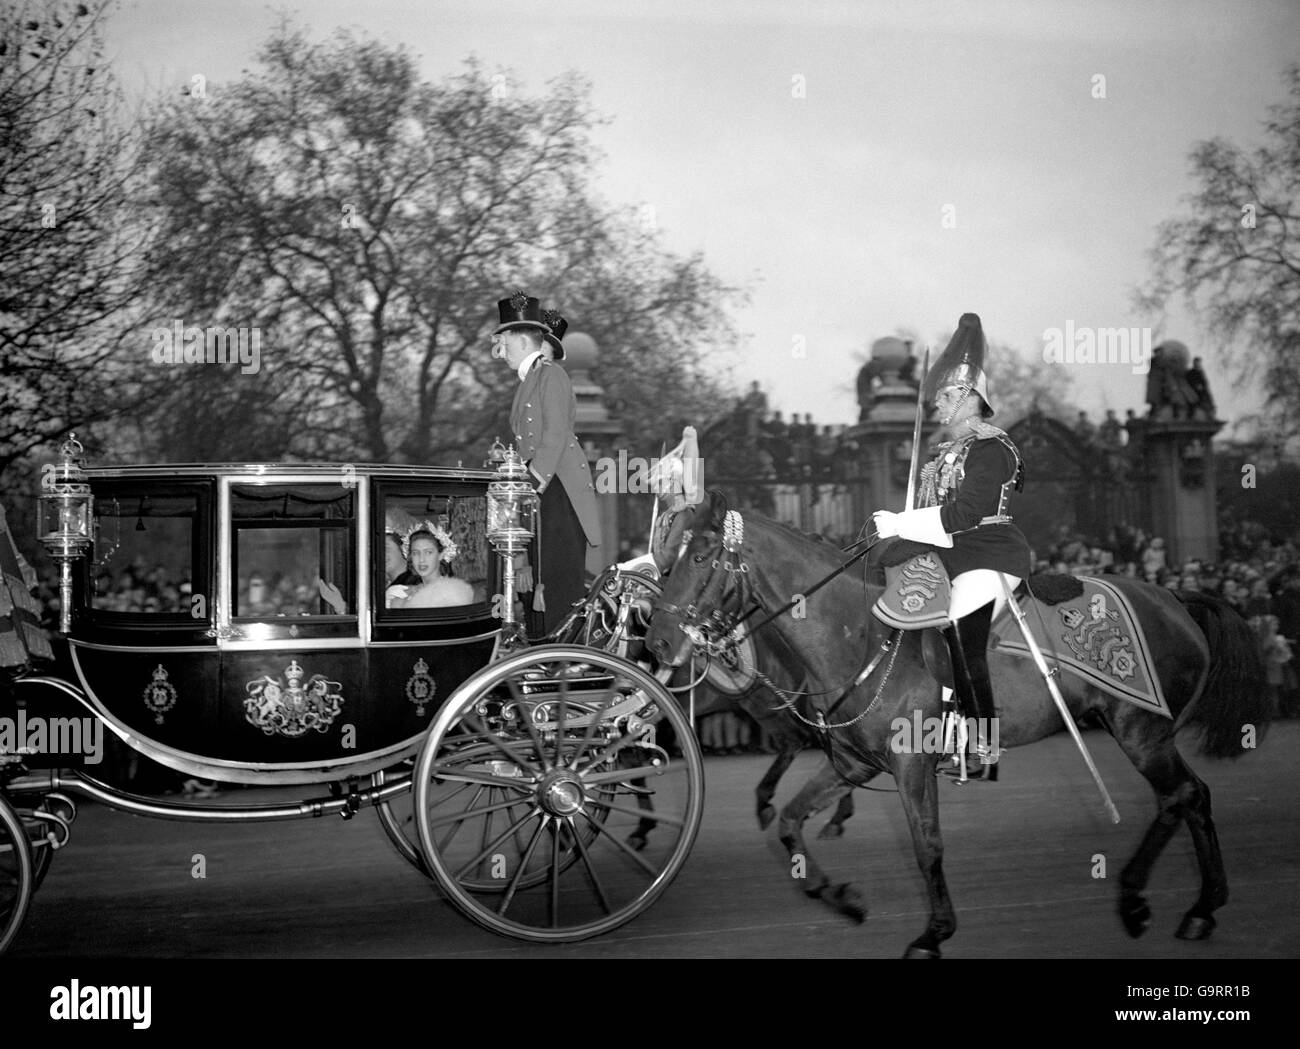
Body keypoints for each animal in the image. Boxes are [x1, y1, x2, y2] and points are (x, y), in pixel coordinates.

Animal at [644, 491, 1274, 961]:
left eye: (699, 558)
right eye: (669, 560)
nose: (656, 643)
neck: (857, 632)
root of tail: (1174, 597)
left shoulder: (909, 765)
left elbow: (927, 846)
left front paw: (933, 933)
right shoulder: (852, 765)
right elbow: (791, 823)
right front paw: (841, 895)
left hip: (1140, 731)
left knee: (1179, 796)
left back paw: (1138, 899)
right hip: (1147, 735)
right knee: (1194, 797)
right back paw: (1202, 908)